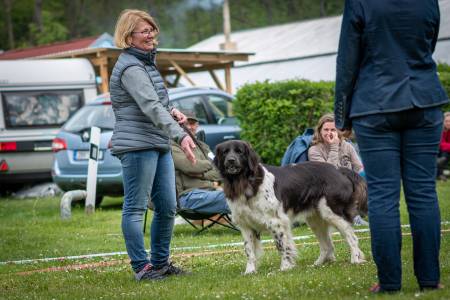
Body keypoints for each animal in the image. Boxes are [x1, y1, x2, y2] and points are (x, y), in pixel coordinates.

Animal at [215, 141, 370, 274]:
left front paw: (285, 267)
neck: (244, 182)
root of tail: (339, 169)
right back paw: (318, 264)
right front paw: (250, 271)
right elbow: (248, 250)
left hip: (332, 212)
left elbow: (281, 246)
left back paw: (355, 259)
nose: (231, 160)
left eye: (239, 151)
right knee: (328, 245)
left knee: (351, 237)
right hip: (315, 219)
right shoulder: (246, 226)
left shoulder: (275, 221)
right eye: (225, 152)